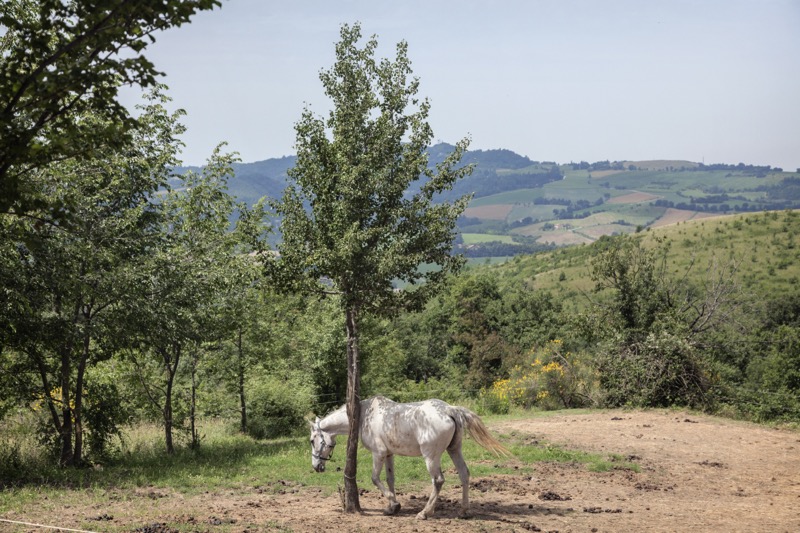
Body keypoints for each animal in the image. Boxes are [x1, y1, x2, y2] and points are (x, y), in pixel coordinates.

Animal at [310, 392, 510, 516]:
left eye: (312, 440)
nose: (316, 466)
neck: (363, 416)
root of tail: (450, 410)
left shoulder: (378, 454)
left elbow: (375, 478)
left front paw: (394, 504)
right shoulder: (389, 455)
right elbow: (390, 480)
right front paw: (391, 508)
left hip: (431, 457)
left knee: (438, 481)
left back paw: (425, 513)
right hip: (454, 450)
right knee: (464, 474)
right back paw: (463, 511)